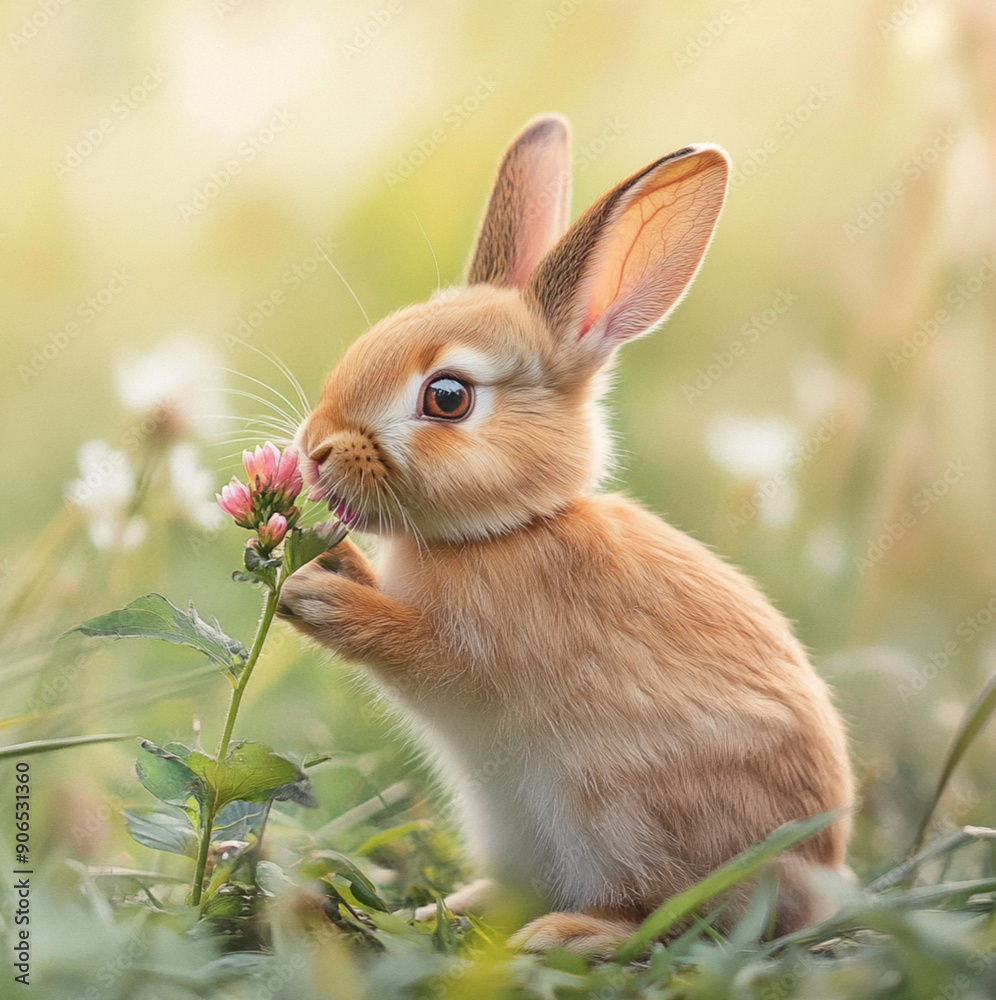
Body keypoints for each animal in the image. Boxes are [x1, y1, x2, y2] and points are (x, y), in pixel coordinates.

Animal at [277, 114, 854, 955]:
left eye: (446, 397)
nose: (314, 452)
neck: (509, 530)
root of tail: (815, 887)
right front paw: (330, 560)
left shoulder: (470, 654)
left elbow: (410, 645)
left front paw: (310, 595)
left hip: (624, 815)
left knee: (664, 920)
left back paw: (567, 935)